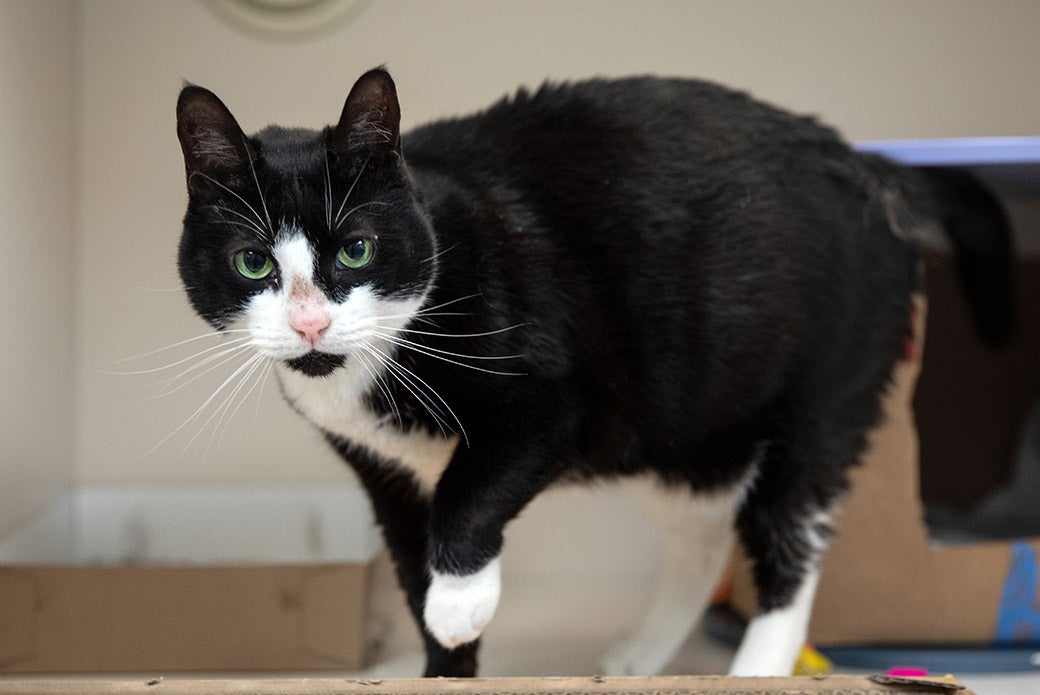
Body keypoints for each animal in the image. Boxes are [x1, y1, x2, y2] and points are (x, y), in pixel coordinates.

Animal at [175, 68, 1012, 677]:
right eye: (252, 262)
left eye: (356, 248)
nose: (310, 322)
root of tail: (873, 167)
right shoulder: (382, 472)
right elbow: (413, 566)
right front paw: (448, 664)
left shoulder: (557, 405)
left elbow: (467, 497)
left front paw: (460, 602)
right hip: (679, 425)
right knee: (705, 535)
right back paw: (641, 654)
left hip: (819, 399)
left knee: (790, 539)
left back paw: (758, 666)